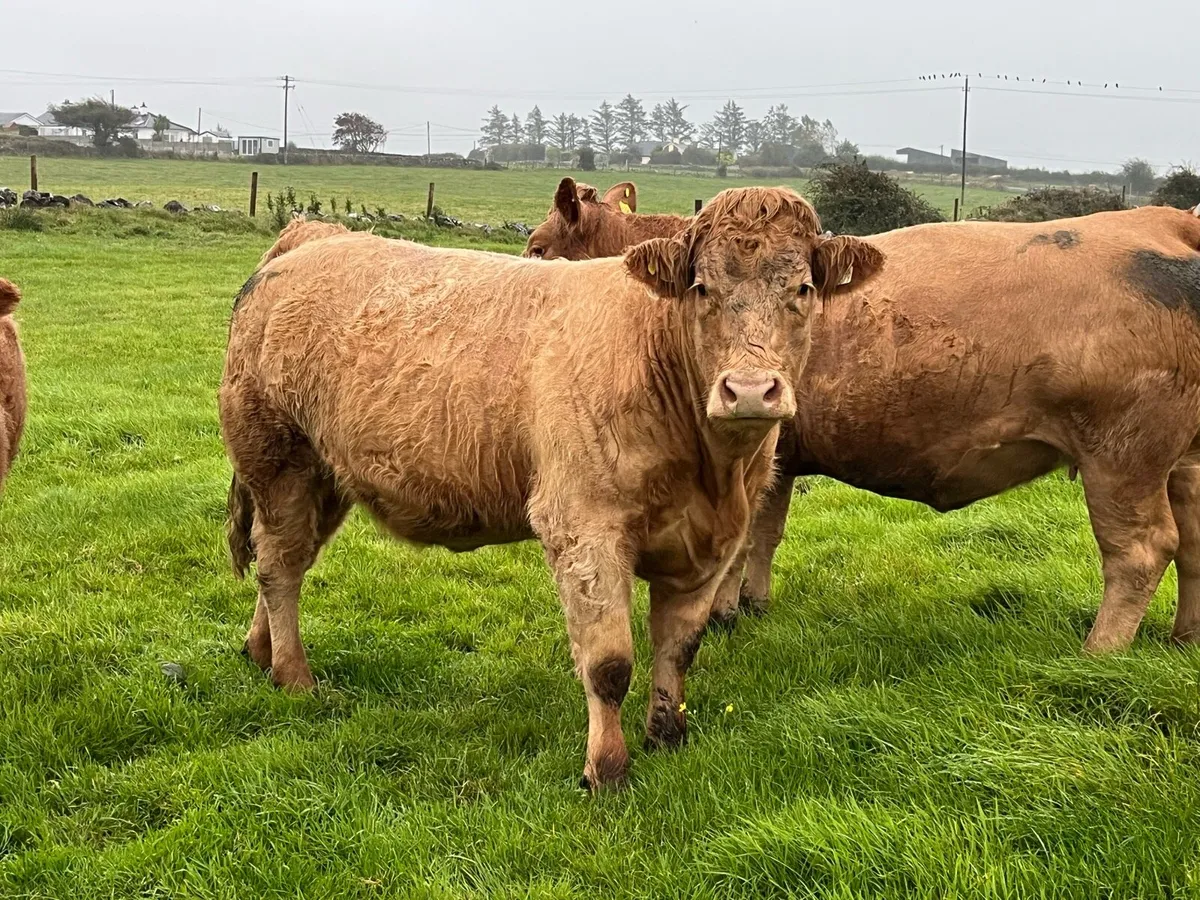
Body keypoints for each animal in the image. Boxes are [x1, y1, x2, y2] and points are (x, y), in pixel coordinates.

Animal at [219, 188, 884, 789]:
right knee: (278, 565)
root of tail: (309, 238)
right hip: (278, 460)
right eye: (702, 288)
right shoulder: (584, 526)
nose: (748, 390)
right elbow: (610, 663)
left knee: (288, 559)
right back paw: (294, 675)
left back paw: (261, 651)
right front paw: (606, 770)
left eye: (803, 289)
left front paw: (667, 738)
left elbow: (679, 647)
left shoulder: (711, 543)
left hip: (327, 476)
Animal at [526, 183, 1200, 655]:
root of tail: (1167, 221)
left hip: (1123, 457)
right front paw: (752, 603)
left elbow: (743, 539)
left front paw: (722, 611)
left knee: (1141, 551)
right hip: (1183, 461)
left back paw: (1099, 654)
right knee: (1192, 539)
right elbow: (766, 533)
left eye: (535, 249)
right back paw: (1182, 638)